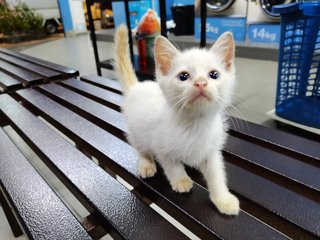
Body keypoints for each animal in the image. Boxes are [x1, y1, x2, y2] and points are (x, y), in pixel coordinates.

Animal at [114, 25, 239, 217]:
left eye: (214, 74)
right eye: (183, 76)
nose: (201, 82)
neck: (195, 123)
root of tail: (137, 86)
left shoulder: (212, 150)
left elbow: (216, 174)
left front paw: (223, 199)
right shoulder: (161, 146)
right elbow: (172, 165)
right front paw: (181, 181)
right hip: (137, 131)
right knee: (140, 147)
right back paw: (146, 164)